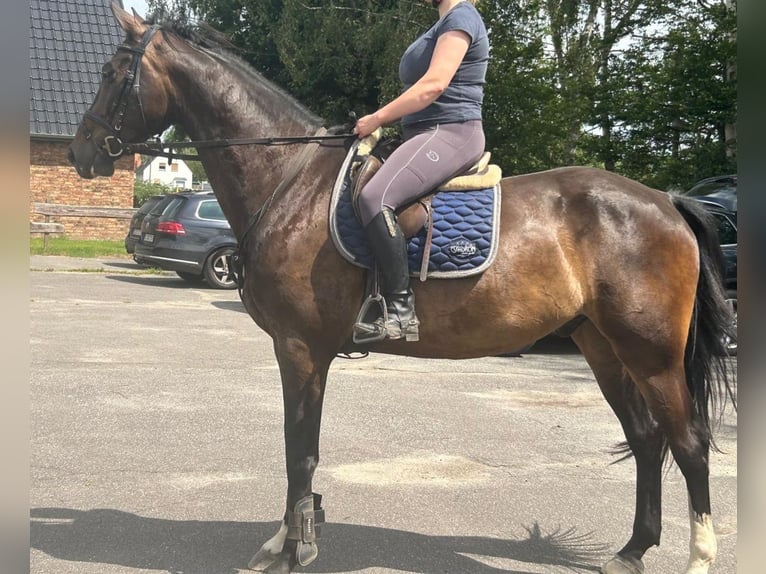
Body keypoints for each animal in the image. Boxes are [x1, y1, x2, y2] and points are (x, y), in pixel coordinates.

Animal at [70, 5, 736, 574]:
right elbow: (301, 447)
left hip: (651, 352)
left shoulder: (299, 347)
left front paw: (292, 548)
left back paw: (698, 556)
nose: (82, 152)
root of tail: (666, 202)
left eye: (111, 73)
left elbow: (298, 449)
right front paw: (291, 538)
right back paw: (631, 551)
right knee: (647, 440)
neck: (291, 181)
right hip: (601, 346)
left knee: (690, 443)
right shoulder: (306, 351)